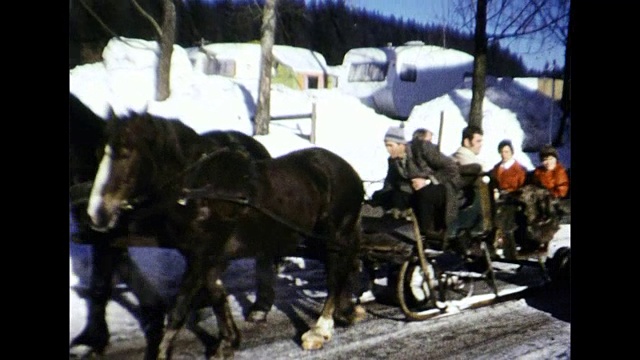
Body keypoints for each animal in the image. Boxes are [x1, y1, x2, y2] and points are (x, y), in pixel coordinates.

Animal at [87, 112, 364, 358]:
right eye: (99, 153)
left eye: (125, 154)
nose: (96, 214)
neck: (200, 189)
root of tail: (349, 170)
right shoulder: (206, 256)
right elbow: (215, 293)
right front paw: (228, 341)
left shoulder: (201, 256)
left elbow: (179, 308)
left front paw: (165, 352)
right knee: (343, 267)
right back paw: (345, 310)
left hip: (335, 234)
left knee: (335, 275)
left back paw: (320, 330)